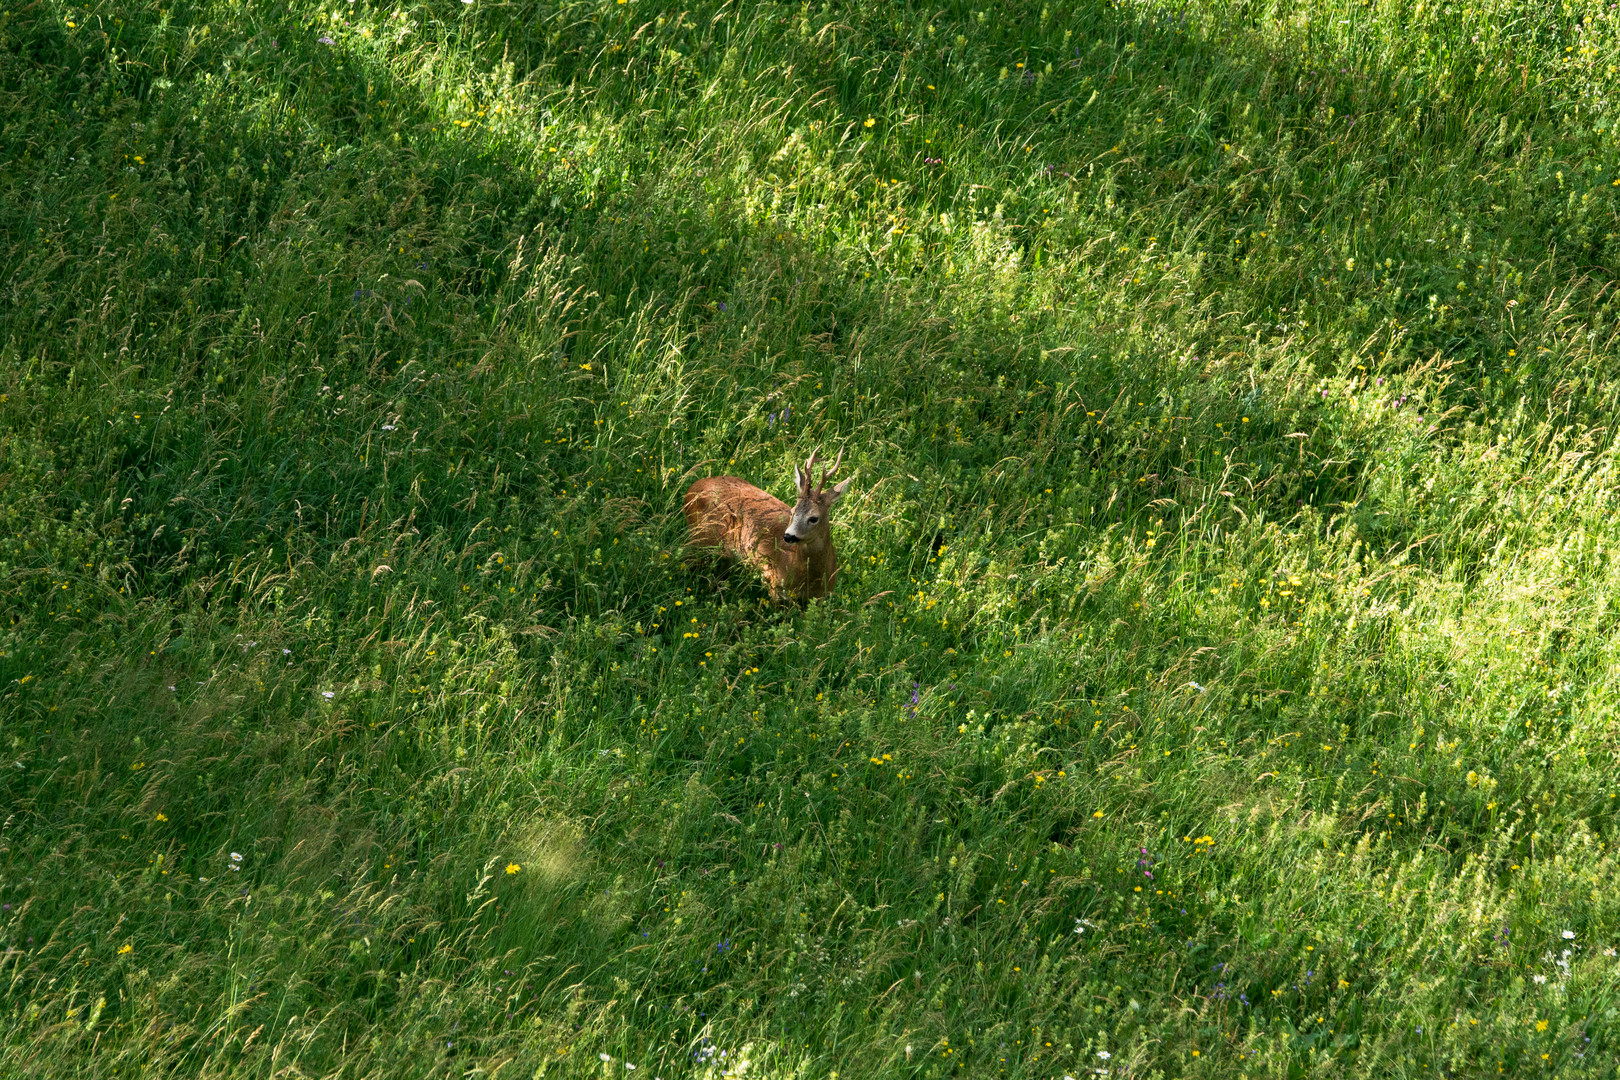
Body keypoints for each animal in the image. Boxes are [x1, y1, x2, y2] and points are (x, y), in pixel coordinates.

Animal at [683, 446, 855, 605]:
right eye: (792, 511)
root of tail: (691, 488)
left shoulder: (821, 597)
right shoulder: (775, 587)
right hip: (702, 537)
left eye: (813, 518)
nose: (788, 536)